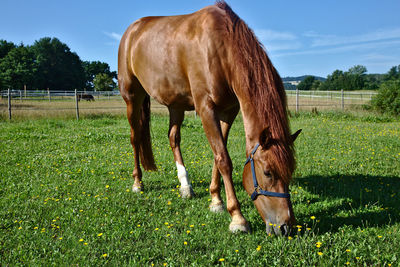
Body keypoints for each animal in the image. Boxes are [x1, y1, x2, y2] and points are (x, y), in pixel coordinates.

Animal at [118, 0, 300, 236]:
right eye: (268, 173)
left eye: (290, 171)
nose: (286, 227)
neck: (220, 49)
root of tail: (132, 30)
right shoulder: (206, 109)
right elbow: (223, 159)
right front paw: (237, 218)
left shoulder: (228, 111)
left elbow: (217, 155)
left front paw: (216, 200)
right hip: (132, 98)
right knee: (135, 138)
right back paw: (137, 183)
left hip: (176, 105)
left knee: (173, 138)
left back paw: (185, 186)